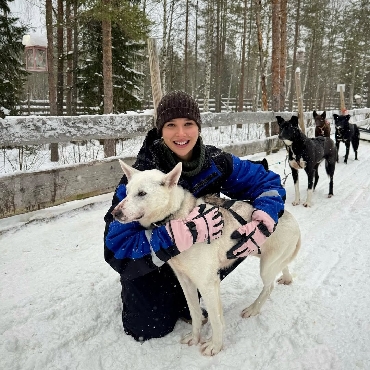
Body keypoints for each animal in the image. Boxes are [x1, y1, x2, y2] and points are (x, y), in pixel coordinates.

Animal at [112, 159, 300, 356]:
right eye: (127, 192)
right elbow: (195, 313)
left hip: (265, 267)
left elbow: (216, 320)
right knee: (283, 267)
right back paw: (286, 278)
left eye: (142, 193)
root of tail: (290, 218)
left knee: (268, 287)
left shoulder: (207, 284)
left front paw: (215, 346)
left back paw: (253, 308)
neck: (177, 216)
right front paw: (195, 338)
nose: (115, 213)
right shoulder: (185, 281)